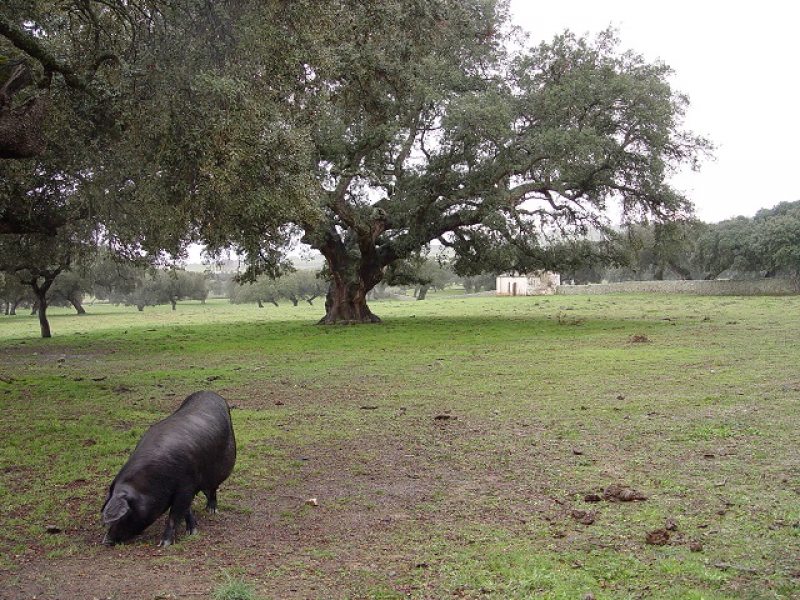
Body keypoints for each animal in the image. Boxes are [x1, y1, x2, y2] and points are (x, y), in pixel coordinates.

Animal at [100, 392, 234, 548]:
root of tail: (211, 392)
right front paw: (191, 533)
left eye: (122, 517)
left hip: (218, 471)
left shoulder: (185, 485)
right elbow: (186, 510)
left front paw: (163, 544)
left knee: (212, 491)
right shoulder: (185, 491)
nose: (105, 541)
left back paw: (211, 511)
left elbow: (174, 515)